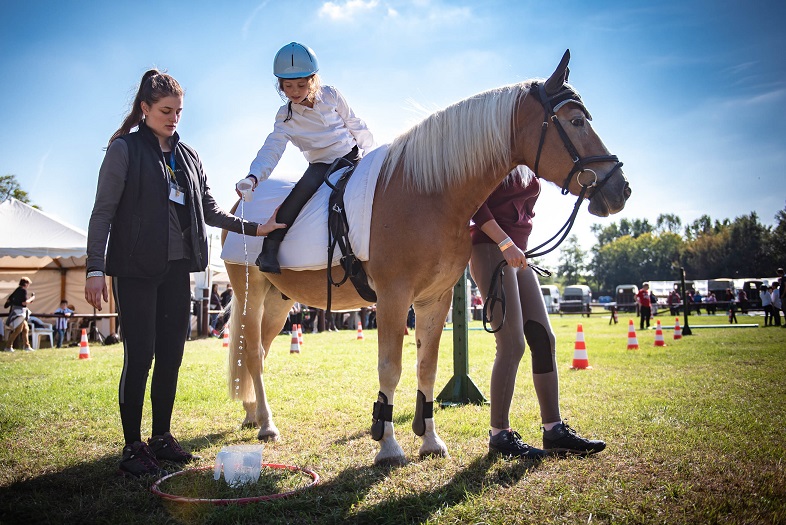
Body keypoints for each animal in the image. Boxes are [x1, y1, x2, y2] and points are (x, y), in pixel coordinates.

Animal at [224, 51, 628, 464]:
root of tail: (238, 207)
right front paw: (388, 445)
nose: (621, 189)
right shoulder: (393, 298)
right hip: (250, 293)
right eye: (576, 121)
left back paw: (252, 413)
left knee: (260, 349)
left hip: (279, 300)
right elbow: (390, 368)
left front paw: (430, 440)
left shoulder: (436, 298)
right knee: (252, 354)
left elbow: (427, 368)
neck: (426, 192)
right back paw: (266, 423)